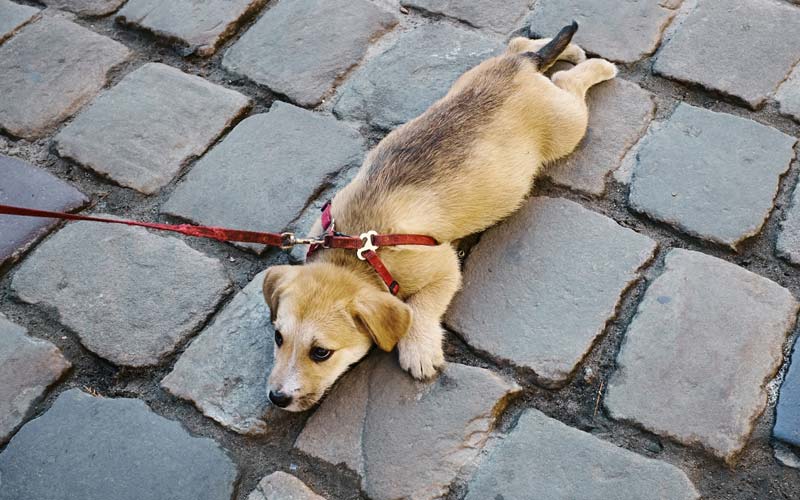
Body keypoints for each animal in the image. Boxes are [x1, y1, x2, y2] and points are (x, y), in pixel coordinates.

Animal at [266, 23, 616, 412]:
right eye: (278, 338)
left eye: (321, 353)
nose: (276, 398)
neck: (353, 249)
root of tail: (521, 69)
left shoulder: (443, 266)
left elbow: (420, 308)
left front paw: (418, 349)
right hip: (483, 73)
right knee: (520, 44)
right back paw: (564, 50)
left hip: (567, 126)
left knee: (568, 82)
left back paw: (598, 66)